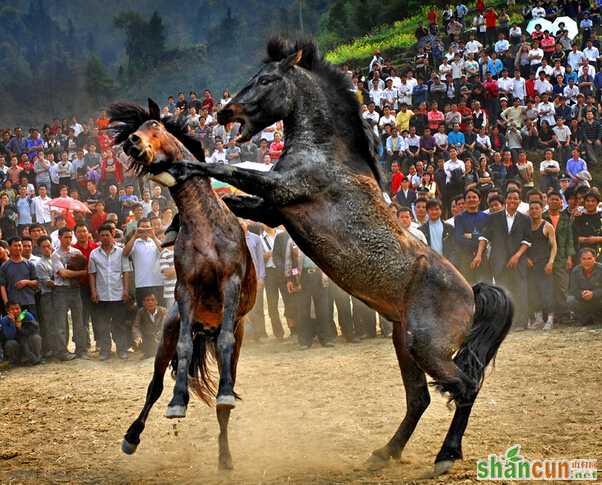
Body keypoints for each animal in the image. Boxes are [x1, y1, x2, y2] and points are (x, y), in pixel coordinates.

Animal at [108, 99, 255, 468]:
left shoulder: (230, 284)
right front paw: (178, 403)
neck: (205, 227)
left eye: (154, 127)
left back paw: (225, 454)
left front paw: (225, 395)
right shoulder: (186, 290)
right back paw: (133, 435)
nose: (131, 141)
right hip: (168, 332)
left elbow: (226, 343)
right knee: (155, 384)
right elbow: (185, 351)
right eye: (137, 128)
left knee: (223, 398)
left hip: (234, 338)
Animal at [166, 38, 512, 476]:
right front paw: (174, 224)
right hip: (405, 343)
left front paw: (180, 163)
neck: (324, 151)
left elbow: (230, 170)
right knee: (420, 398)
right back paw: (385, 452)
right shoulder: (274, 209)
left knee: (466, 387)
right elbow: (233, 200)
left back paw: (446, 456)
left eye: (265, 79)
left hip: (427, 347)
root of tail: (472, 292)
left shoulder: (282, 188)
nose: (225, 112)